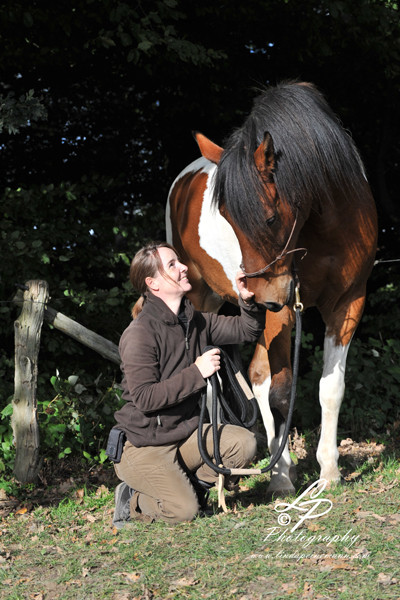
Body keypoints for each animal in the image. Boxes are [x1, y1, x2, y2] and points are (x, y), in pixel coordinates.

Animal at [166, 81, 378, 496]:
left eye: (269, 218)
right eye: (227, 217)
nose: (262, 295)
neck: (326, 226)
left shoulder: (348, 302)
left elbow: (331, 388)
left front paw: (329, 470)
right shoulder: (280, 309)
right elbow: (274, 387)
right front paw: (281, 473)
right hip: (203, 297)